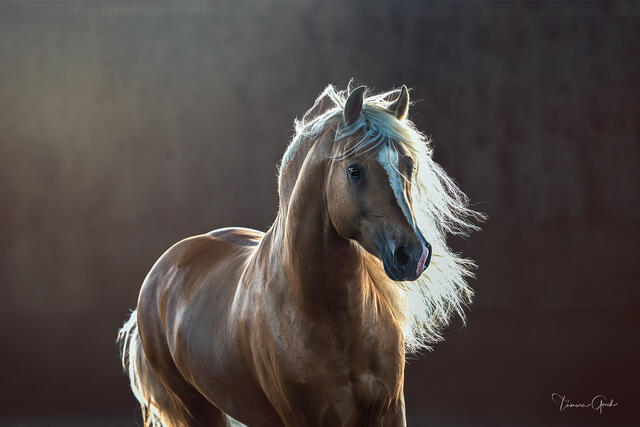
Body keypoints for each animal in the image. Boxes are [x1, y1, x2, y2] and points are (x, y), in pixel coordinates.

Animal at [117, 82, 482, 427]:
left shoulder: (391, 410)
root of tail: (163, 270)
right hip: (198, 409)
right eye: (354, 170)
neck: (336, 322)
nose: (414, 254)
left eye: (408, 165)